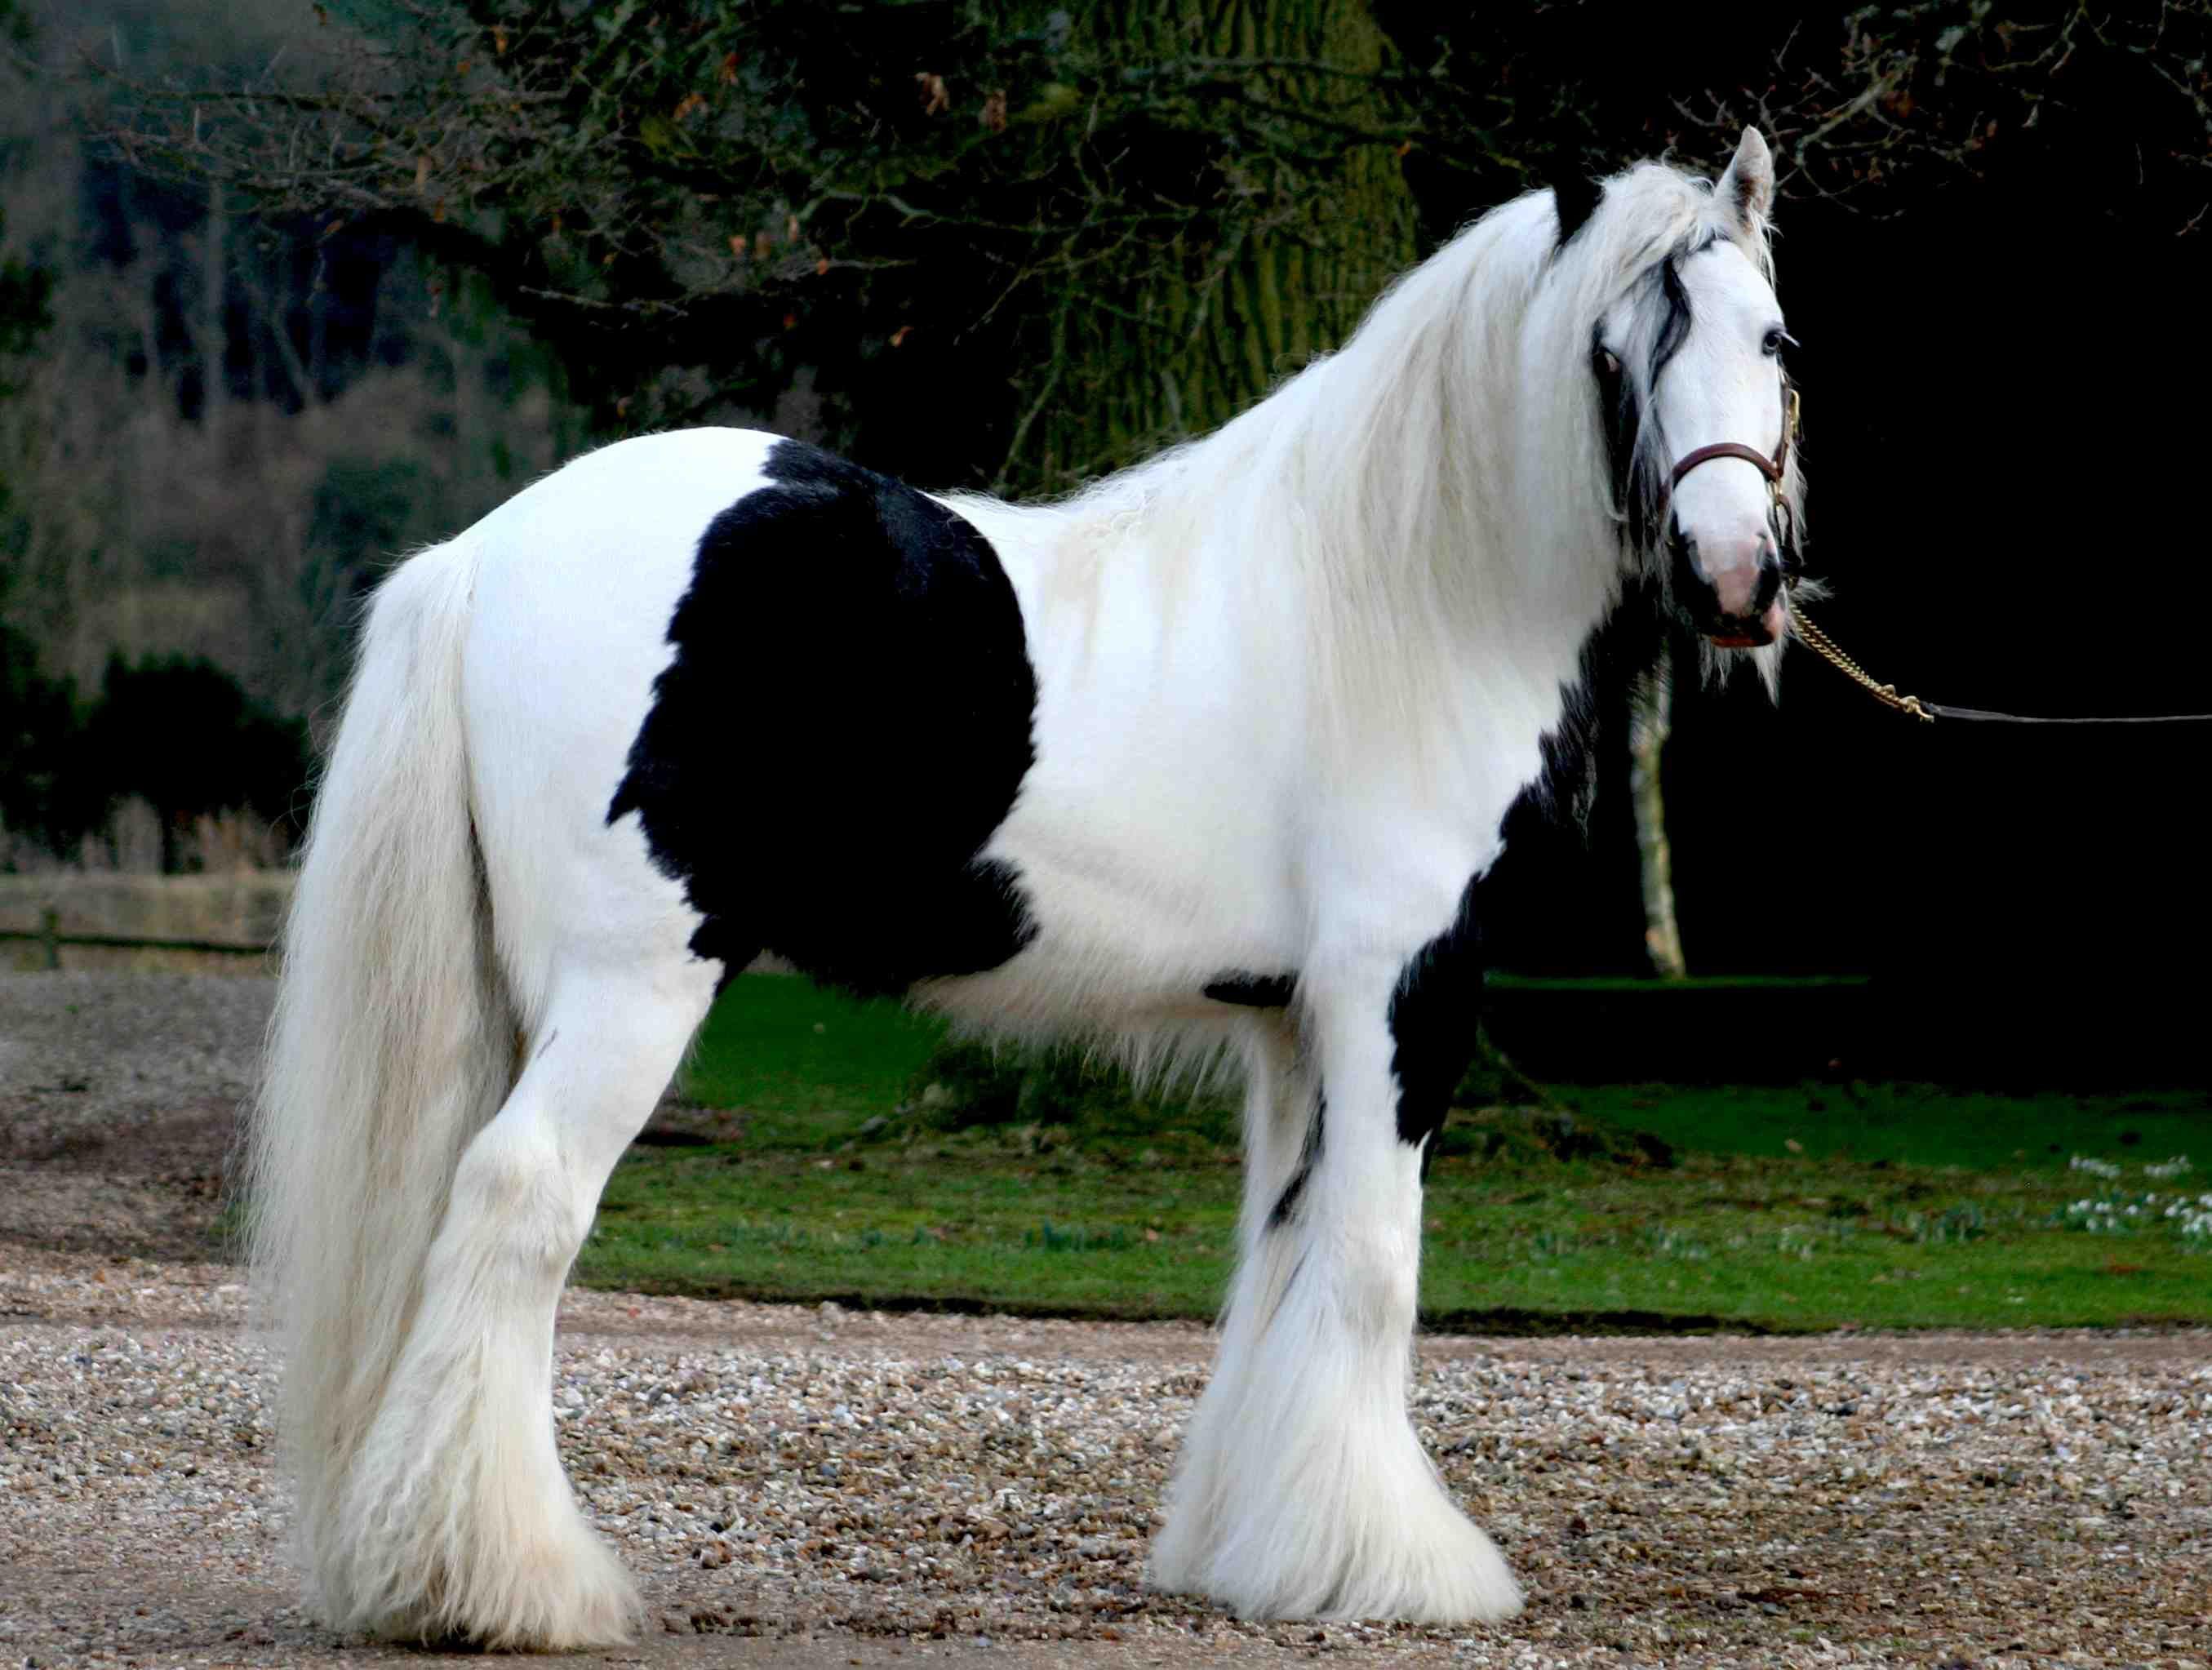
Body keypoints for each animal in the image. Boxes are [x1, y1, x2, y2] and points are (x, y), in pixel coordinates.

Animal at [251, 127, 1804, 1648]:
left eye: (1774, 338)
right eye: (1615, 351)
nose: (1737, 574)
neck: (1397, 596)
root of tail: (484, 552)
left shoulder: (1296, 1020)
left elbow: (1280, 1261)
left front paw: (1257, 1552)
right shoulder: (1399, 990)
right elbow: (1371, 1262)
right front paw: (1397, 1569)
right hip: (633, 982)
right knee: (520, 1198)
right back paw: (504, 1586)